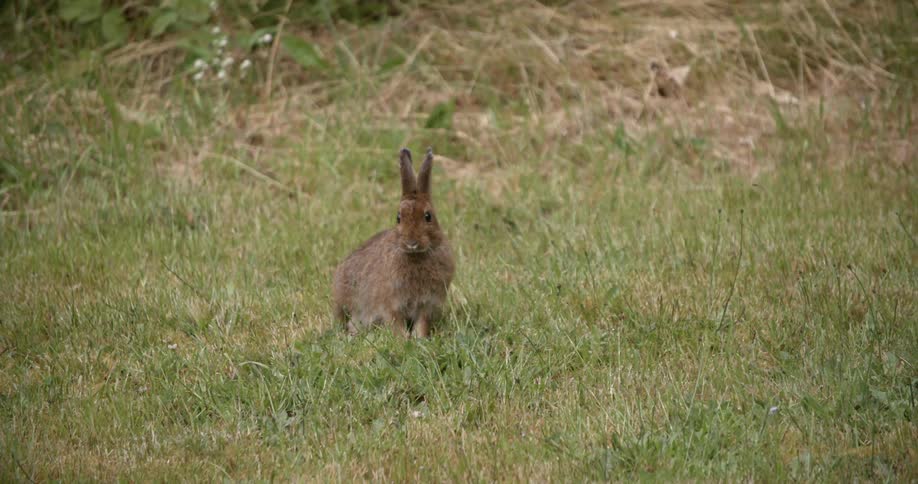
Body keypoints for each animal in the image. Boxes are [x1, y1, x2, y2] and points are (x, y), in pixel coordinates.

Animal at [332, 147, 455, 338]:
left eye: (428, 216)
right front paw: (403, 339)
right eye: (398, 218)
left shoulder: (427, 304)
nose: (412, 242)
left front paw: (419, 338)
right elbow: (396, 322)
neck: (416, 256)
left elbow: (422, 323)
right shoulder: (391, 303)